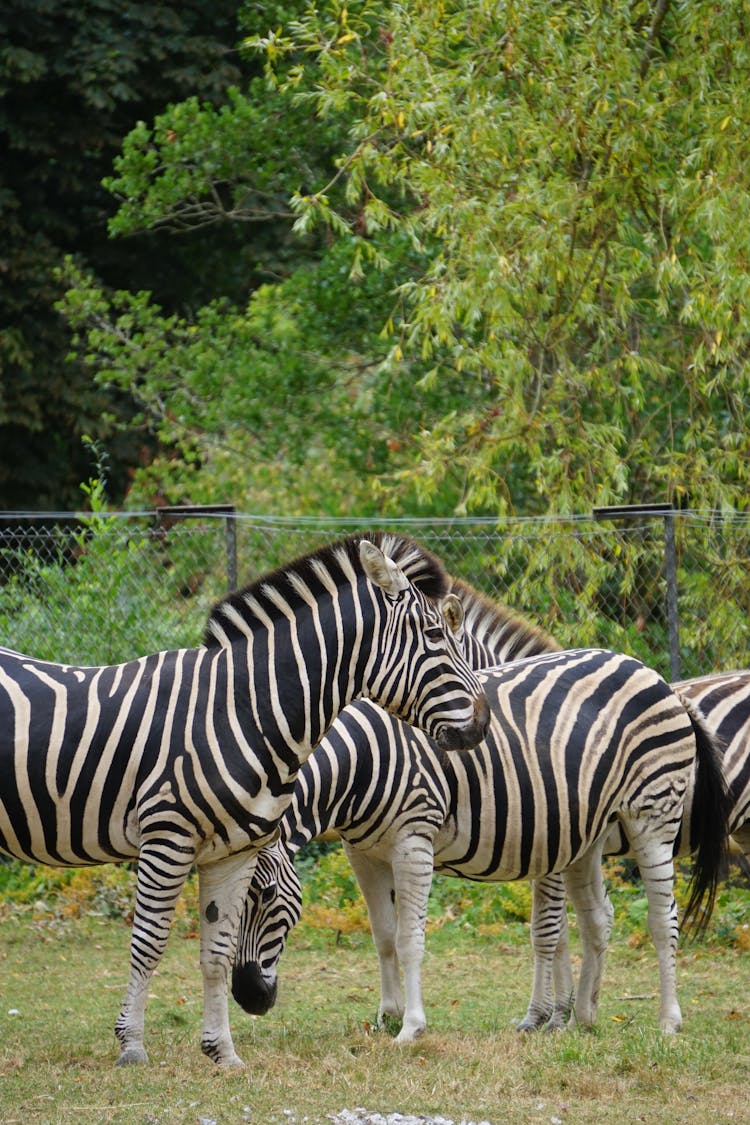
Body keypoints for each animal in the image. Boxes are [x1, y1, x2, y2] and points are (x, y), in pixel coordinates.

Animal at [0, 533, 492, 1062]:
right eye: (435, 635)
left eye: (267, 894)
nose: (483, 722)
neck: (240, 708)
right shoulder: (167, 837)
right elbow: (148, 944)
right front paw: (131, 1046)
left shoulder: (232, 851)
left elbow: (215, 953)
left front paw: (223, 1053)